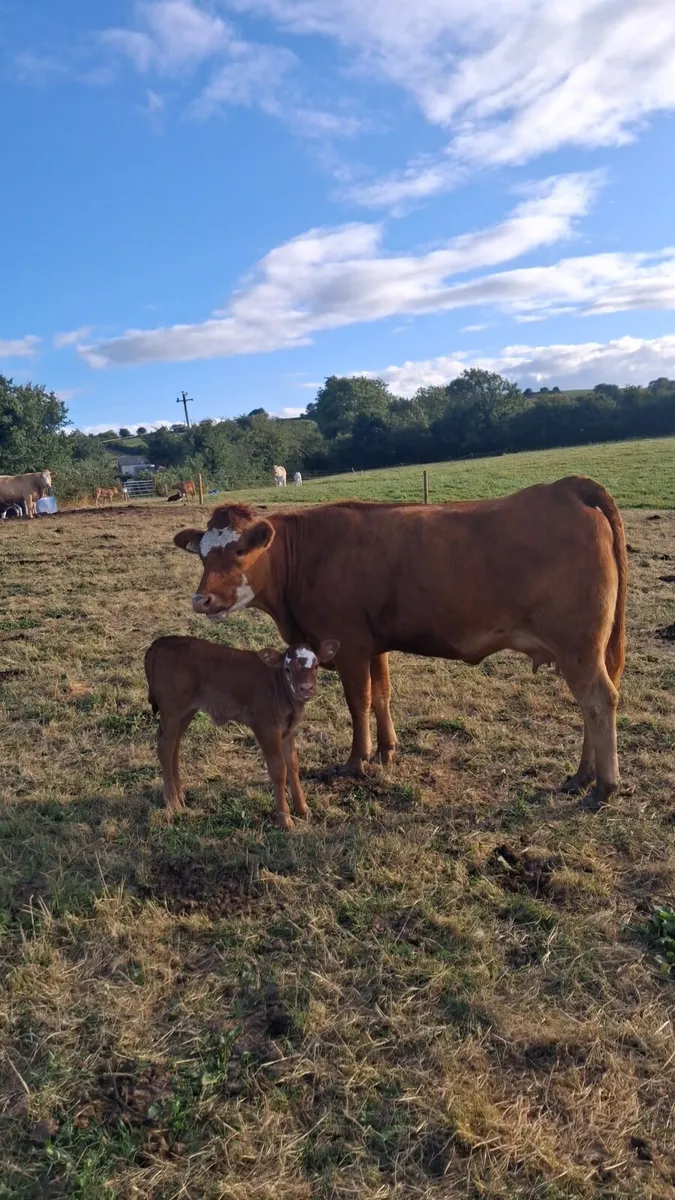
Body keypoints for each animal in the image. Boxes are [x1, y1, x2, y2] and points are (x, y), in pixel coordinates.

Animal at [145, 636, 339, 829]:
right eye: (288, 669)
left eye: (316, 666)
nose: (305, 688)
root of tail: (164, 641)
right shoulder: (265, 728)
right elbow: (278, 769)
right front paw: (285, 819)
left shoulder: (288, 731)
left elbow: (292, 764)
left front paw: (302, 809)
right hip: (171, 710)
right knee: (165, 746)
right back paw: (172, 801)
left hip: (186, 712)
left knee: (174, 745)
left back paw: (179, 794)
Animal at [174, 477, 627, 810]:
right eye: (202, 554)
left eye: (239, 549)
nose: (202, 600)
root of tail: (566, 487)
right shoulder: (374, 646)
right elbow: (381, 695)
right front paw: (388, 751)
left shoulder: (349, 646)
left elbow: (357, 702)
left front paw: (357, 760)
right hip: (589, 649)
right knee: (592, 704)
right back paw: (581, 776)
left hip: (578, 645)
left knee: (598, 700)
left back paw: (603, 787)